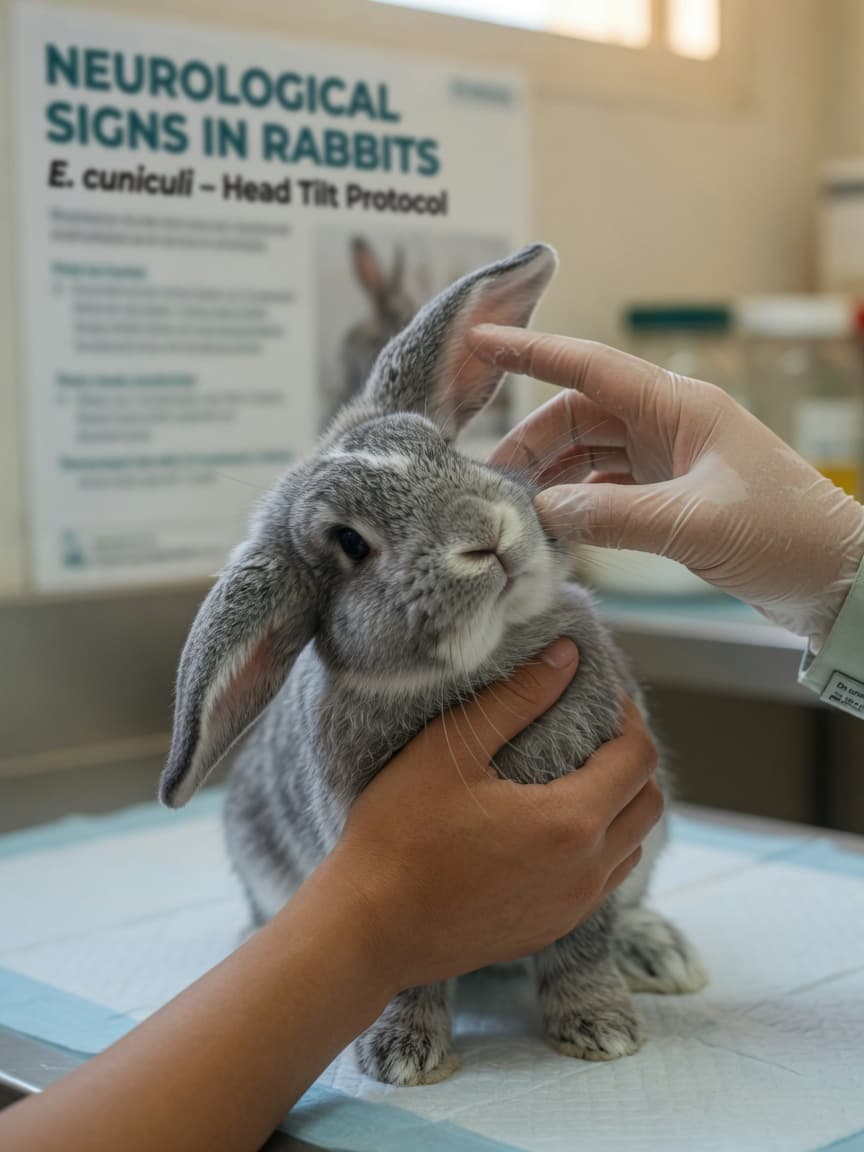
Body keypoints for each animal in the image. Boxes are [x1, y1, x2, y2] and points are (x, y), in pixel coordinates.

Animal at [160, 243, 708, 1087]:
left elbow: (581, 946)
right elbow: (405, 972)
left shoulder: (601, 855)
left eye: (445, 451)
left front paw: (601, 1028)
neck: (483, 663)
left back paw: (659, 953)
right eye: (351, 543)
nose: (486, 535)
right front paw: (403, 1057)